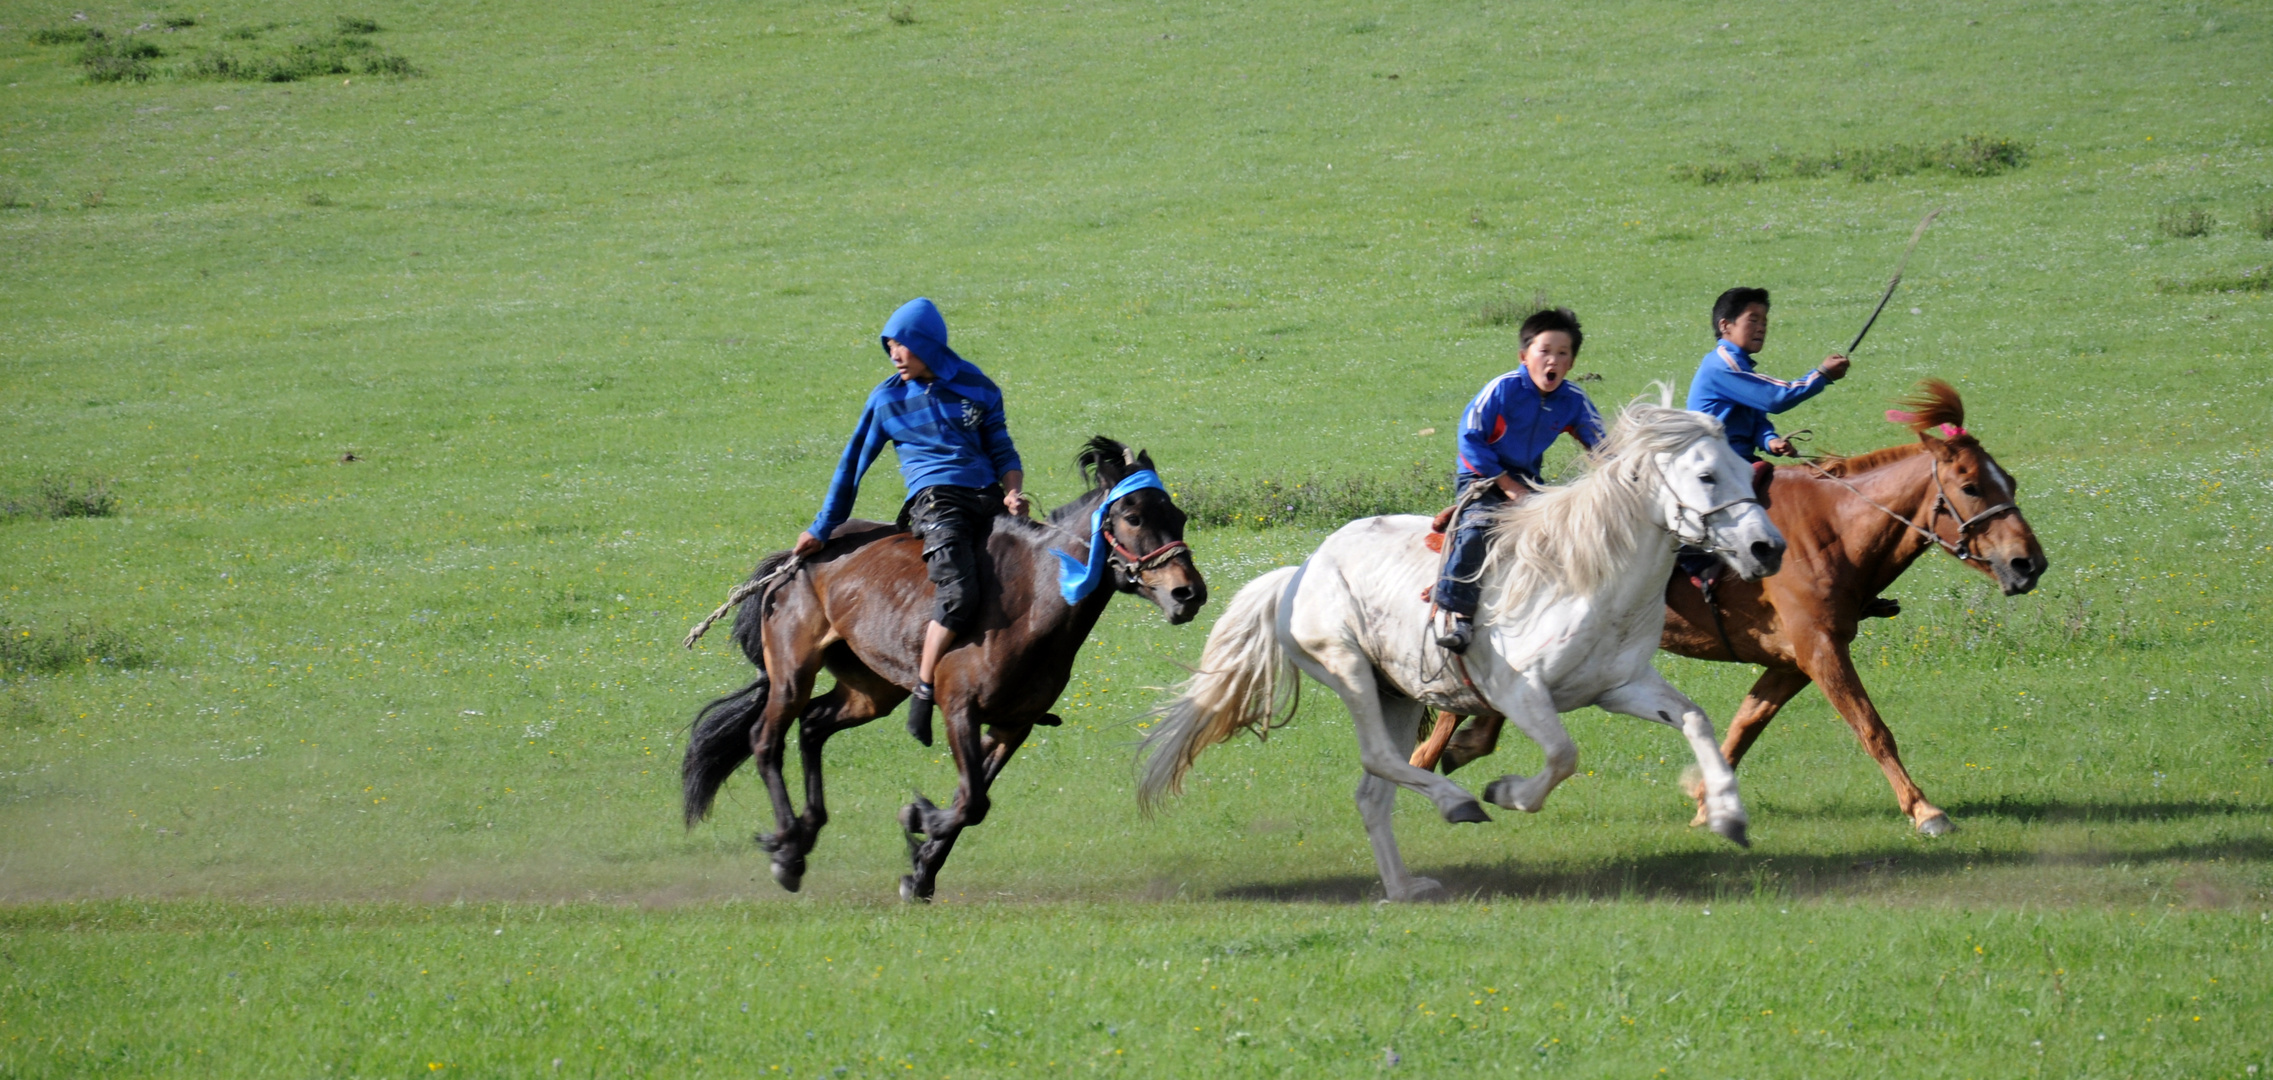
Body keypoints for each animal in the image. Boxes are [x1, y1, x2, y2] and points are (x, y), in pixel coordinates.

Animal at [677, 436, 1209, 900]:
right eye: (1133, 516)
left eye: (1179, 516)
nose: (1188, 593)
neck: (1032, 601)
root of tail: (796, 558)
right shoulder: (959, 710)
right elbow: (972, 801)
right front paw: (918, 821)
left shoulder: (1012, 726)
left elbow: (968, 800)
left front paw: (920, 869)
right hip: (792, 673)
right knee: (766, 740)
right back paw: (788, 850)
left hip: (872, 691)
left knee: (813, 726)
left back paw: (807, 832)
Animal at [1145, 397, 1782, 904]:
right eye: (1706, 475)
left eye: (1745, 467)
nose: (1767, 548)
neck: (1585, 573)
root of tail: (1297, 572)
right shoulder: (1520, 691)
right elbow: (1562, 755)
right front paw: (1506, 792)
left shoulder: (1620, 686)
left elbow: (1695, 719)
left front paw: (1728, 814)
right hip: (1348, 669)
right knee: (1380, 760)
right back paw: (1458, 803)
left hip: (1397, 694)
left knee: (1373, 794)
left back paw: (1404, 888)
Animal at [1663, 379, 2054, 836]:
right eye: (1971, 486)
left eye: (2009, 481)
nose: (2028, 563)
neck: (1828, 527)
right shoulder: (1821, 650)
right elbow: (1872, 729)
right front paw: (1925, 810)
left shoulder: (1791, 663)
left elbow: (1745, 725)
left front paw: (1709, 804)